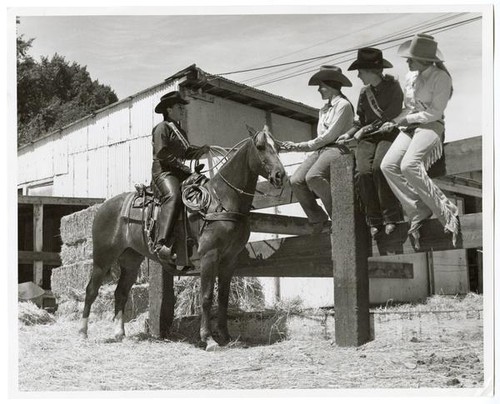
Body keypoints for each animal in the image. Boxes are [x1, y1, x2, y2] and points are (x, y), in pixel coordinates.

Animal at [78, 125, 286, 350]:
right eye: (260, 146)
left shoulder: (230, 259)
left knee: (121, 292)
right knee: (91, 290)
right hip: (103, 258)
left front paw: (225, 336)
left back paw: (119, 333)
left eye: (278, 147)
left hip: (131, 260)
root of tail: (103, 206)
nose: (280, 175)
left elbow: (223, 298)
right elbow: (206, 297)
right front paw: (208, 338)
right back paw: (83, 332)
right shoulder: (209, 256)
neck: (221, 200)